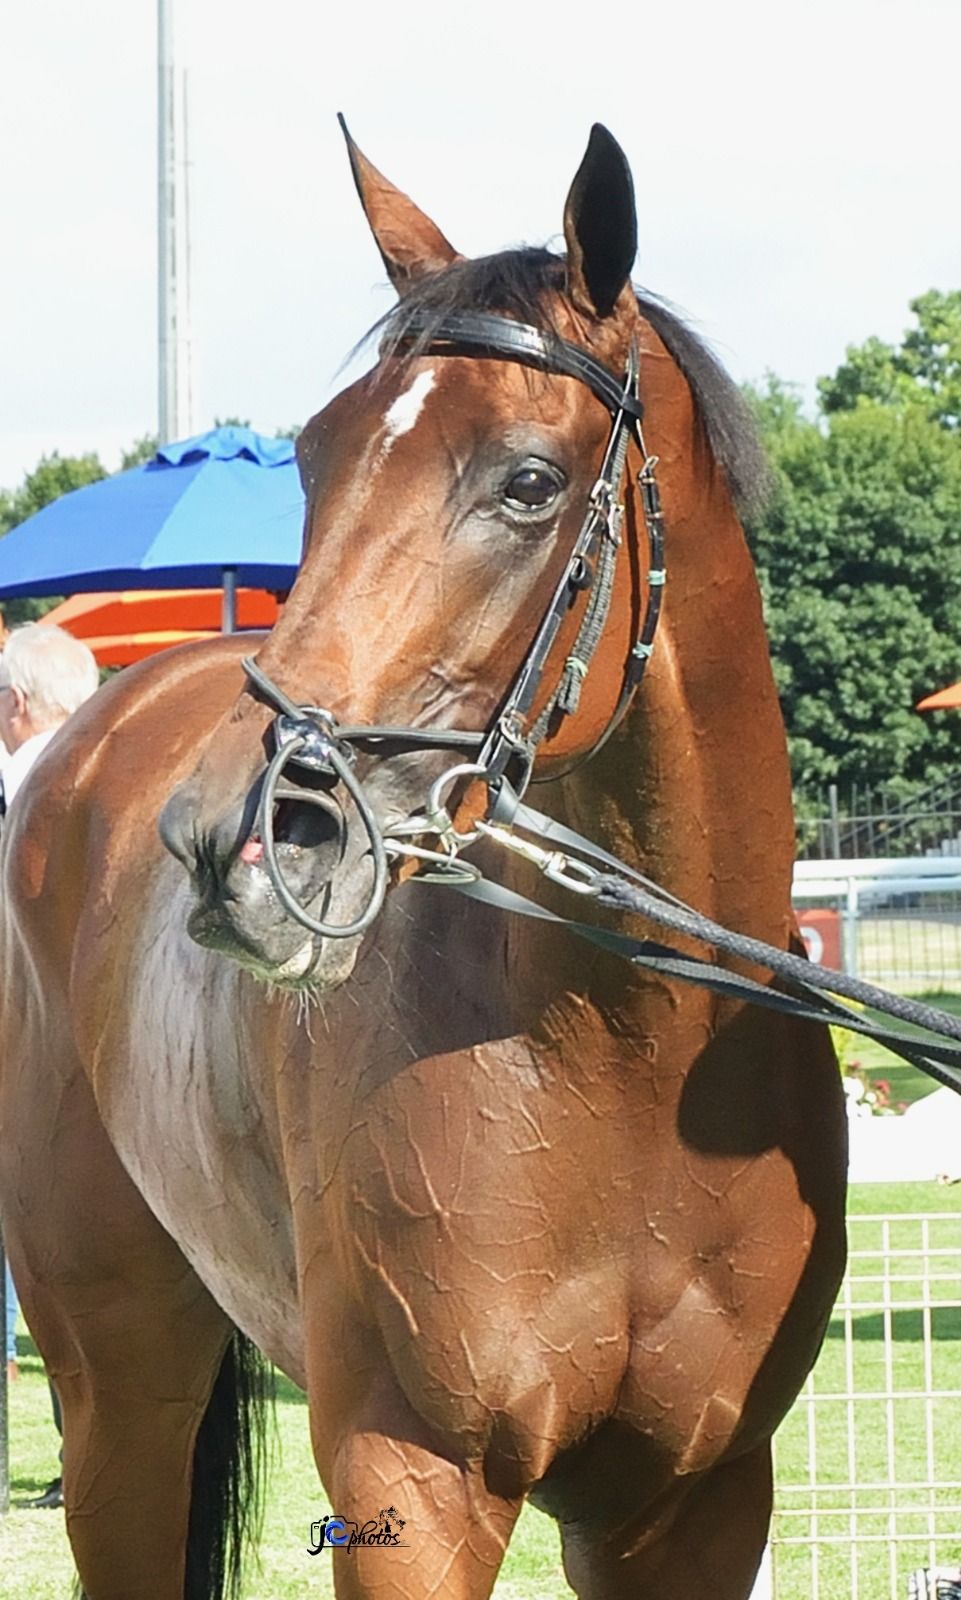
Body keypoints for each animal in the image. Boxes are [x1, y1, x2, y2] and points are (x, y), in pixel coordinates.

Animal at [0, 122, 847, 1599]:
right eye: (318, 459)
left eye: (527, 480)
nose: (231, 837)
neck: (626, 1058)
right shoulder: (412, 1486)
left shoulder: (690, 1506)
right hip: (118, 1388)